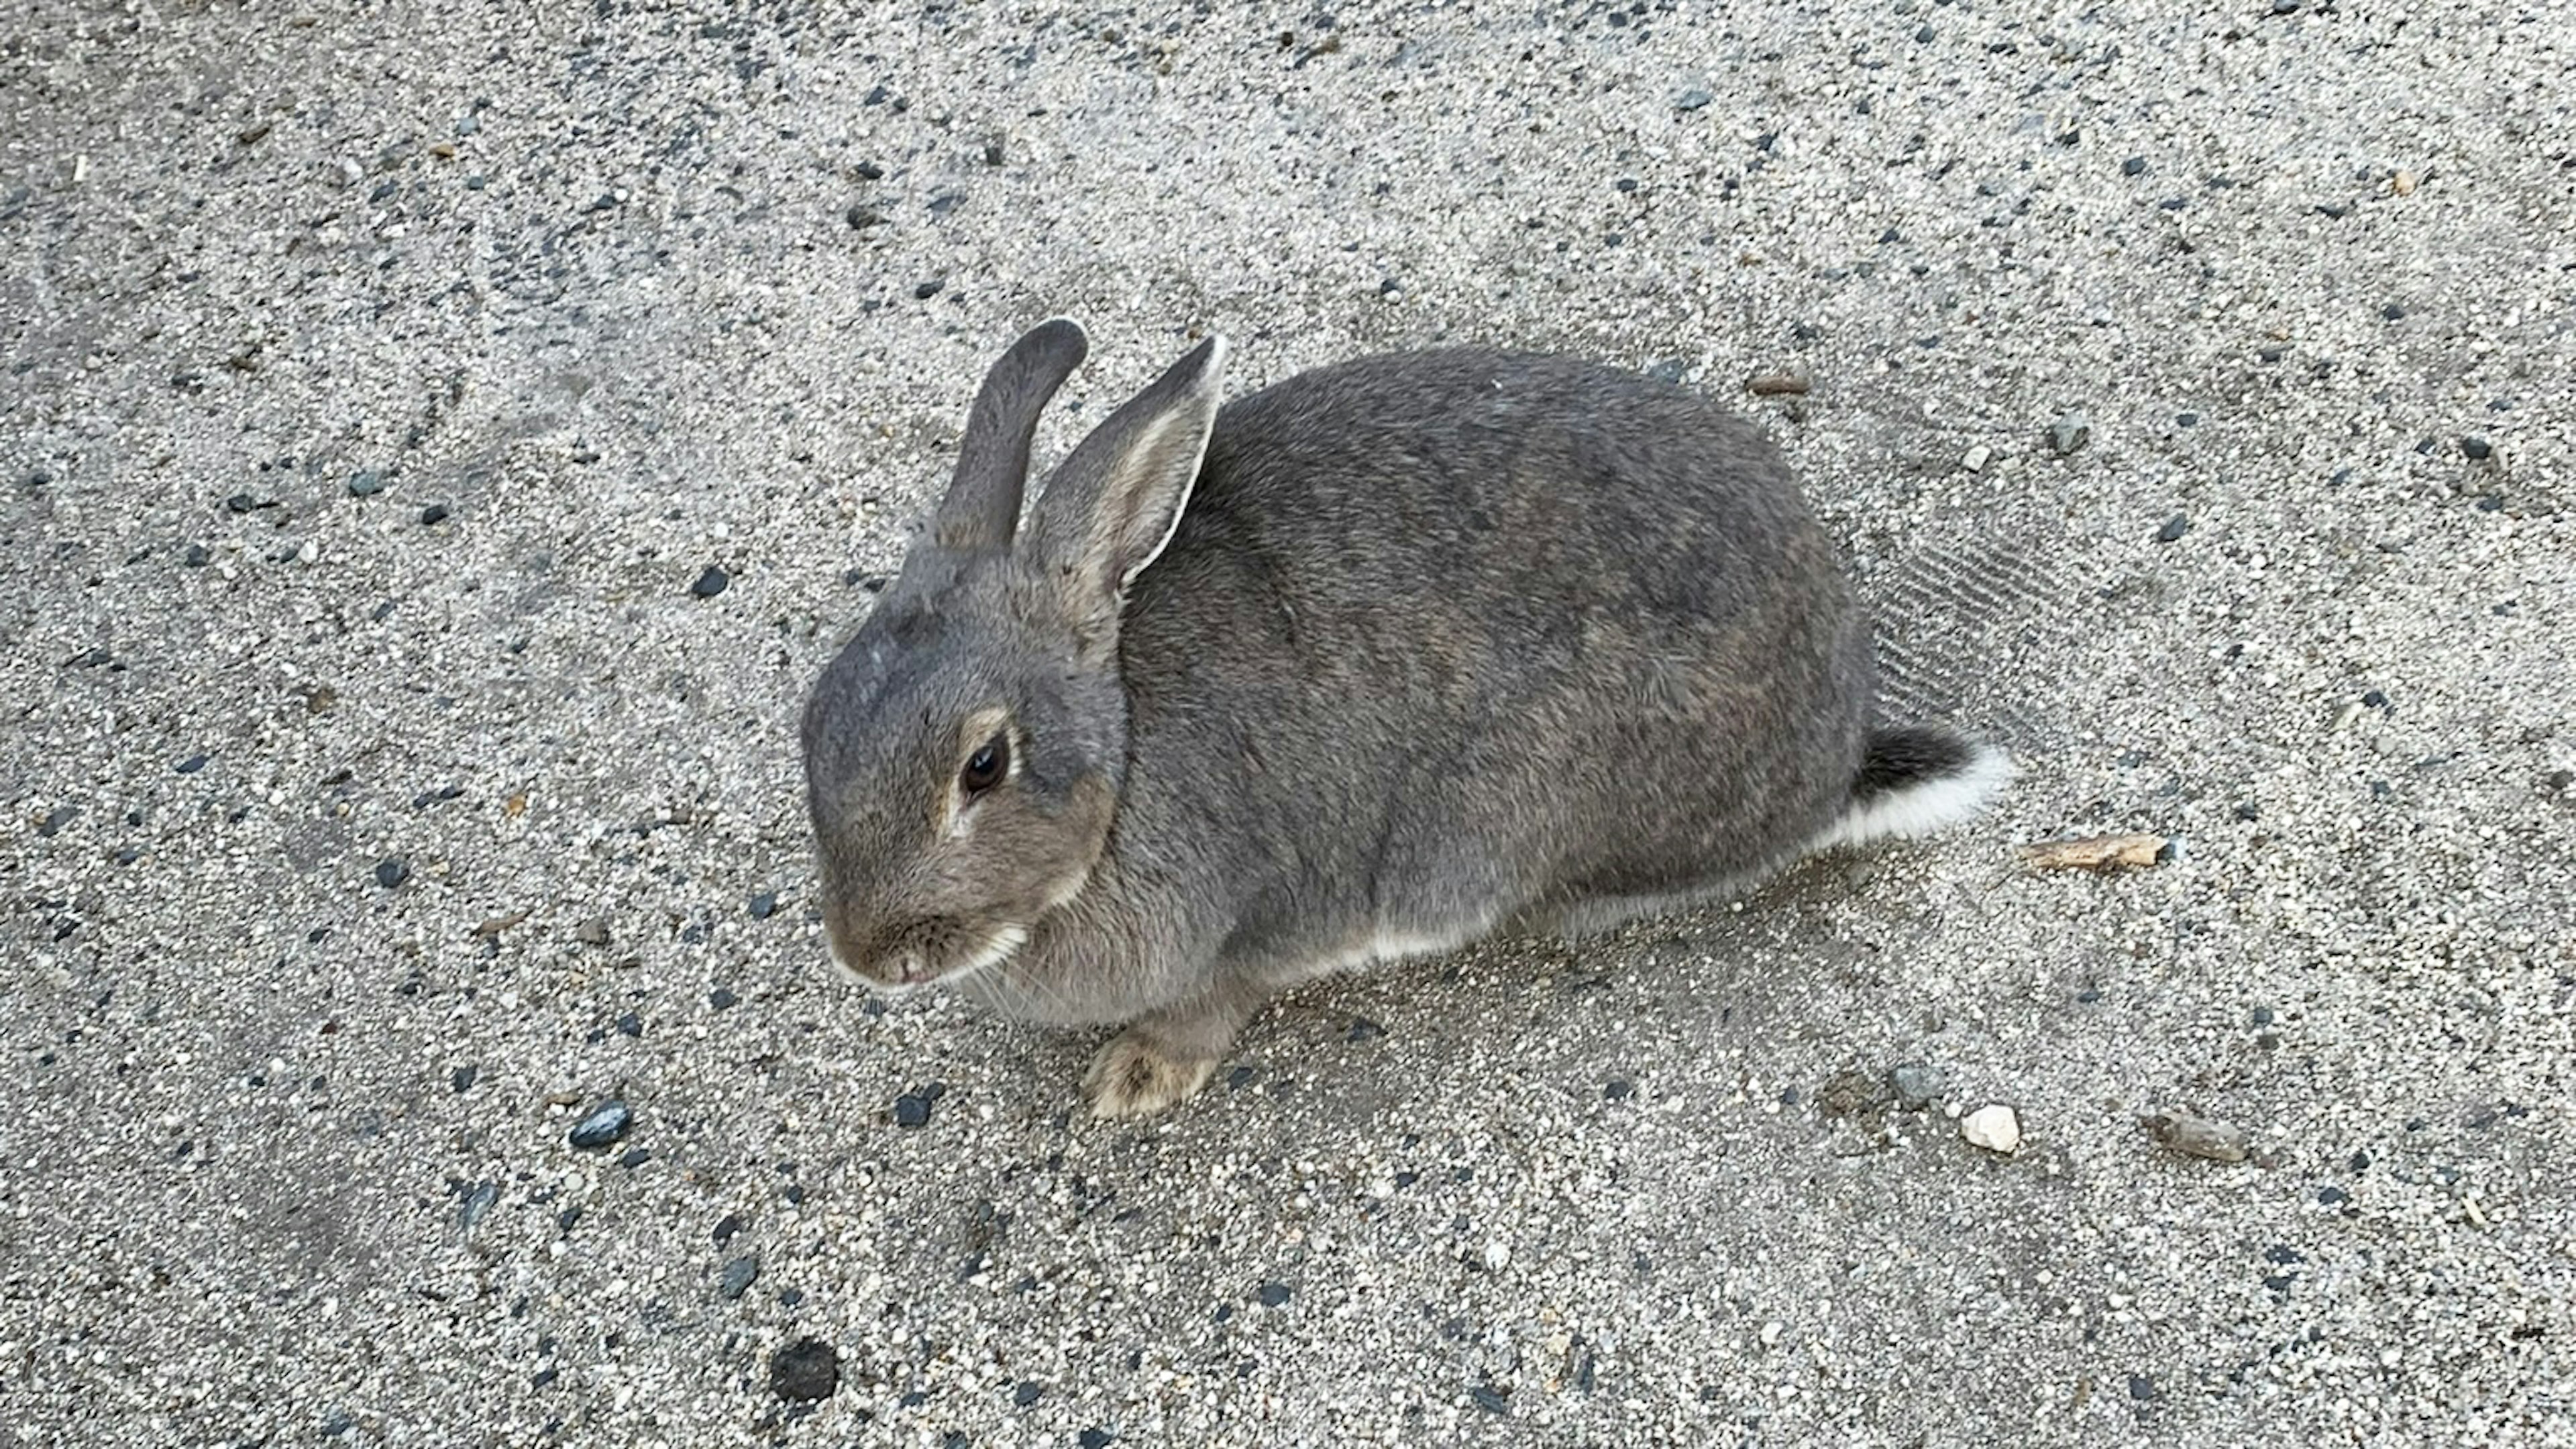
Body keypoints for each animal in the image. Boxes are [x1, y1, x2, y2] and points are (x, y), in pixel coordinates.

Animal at [804, 321, 2009, 1119]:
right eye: (814, 723)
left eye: (985, 763)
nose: (866, 959)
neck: (1127, 741)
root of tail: (1836, 757)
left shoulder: (1251, 925)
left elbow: (1216, 1003)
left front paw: (1135, 1079)